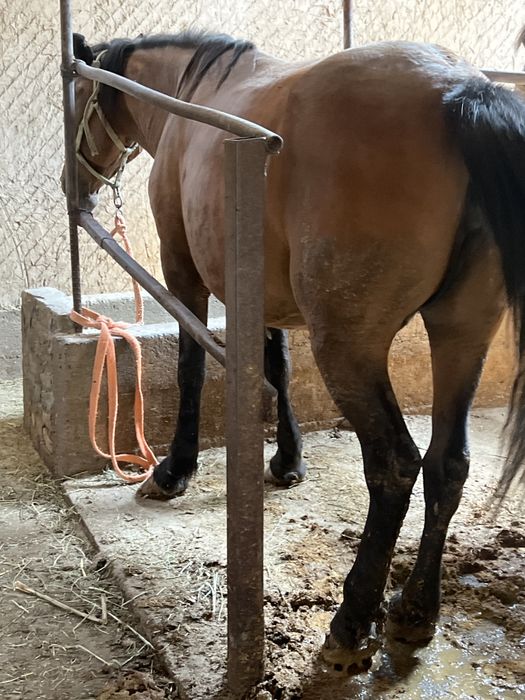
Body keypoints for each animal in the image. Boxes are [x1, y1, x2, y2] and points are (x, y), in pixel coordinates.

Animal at [67, 30, 525, 673]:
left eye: (78, 95)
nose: (71, 182)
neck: (193, 96)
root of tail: (459, 91)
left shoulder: (186, 274)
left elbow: (191, 370)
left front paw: (173, 470)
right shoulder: (262, 295)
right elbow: (278, 369)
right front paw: (287, 461)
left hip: (351, 347)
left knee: (395, 465)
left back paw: (353, 621)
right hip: (462, 334)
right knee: (448, 464)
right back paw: (415, 611)